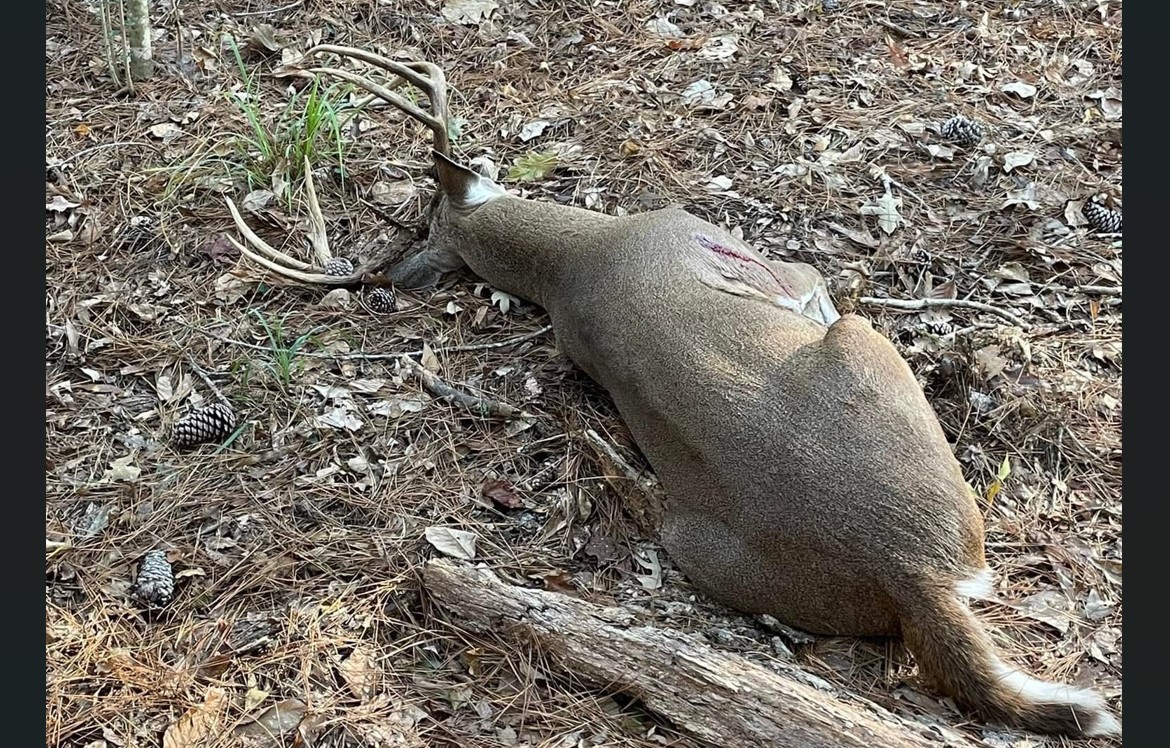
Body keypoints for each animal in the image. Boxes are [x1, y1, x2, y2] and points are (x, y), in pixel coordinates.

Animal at [225, 46, 1113, 744]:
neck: (578, 259)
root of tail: (912, 573)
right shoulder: (777, 271)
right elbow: (820, 284)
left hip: (699, 545)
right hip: (866, 353)